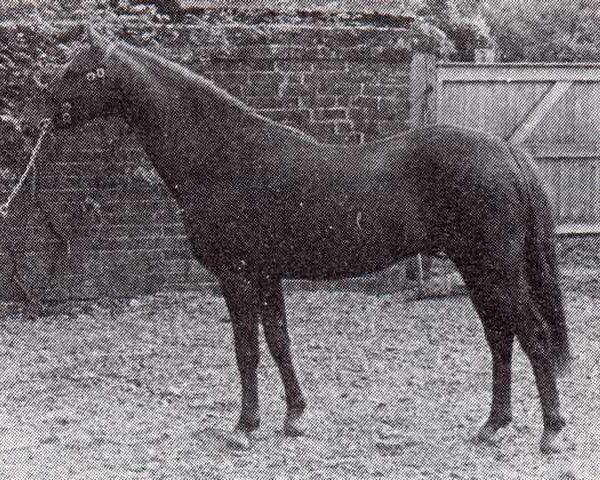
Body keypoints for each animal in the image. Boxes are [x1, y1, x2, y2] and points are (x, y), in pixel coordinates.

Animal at [22, 27, 572, 454]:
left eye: (79, 70)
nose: (36, 115)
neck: (224, 157)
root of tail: (505, 152)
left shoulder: (237, 274)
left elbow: (246, 348)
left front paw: (244, 428)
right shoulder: (267, 273)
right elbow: (278, 341)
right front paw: (294, 418)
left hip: (496, 271)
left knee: (534, 336)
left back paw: (551, 433)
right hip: (478, 271)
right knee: (501, 339)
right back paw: (493, 426)